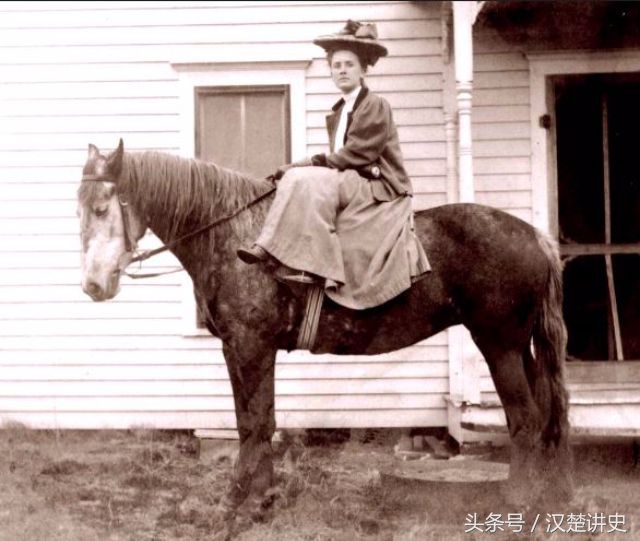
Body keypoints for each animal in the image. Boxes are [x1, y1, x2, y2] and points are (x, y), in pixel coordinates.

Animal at [77, 141, 572, 520]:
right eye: (79, 210)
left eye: (102, 208)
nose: (93, 285)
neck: (235, 236)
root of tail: (536, 237)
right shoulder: (238, 350)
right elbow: (253, 422)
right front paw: (261, 497)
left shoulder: (252, 348)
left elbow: (255, 424)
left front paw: (241, 502)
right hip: (520, 347)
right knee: (547, 415)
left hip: (499, 344)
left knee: (525, 419)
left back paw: (518, 502)